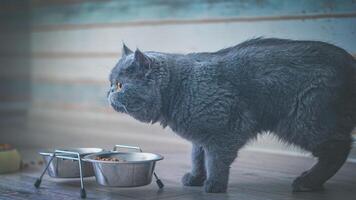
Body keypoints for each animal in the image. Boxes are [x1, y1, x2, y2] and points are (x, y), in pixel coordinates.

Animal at [108, 38, 356, 193]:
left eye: (119, 85)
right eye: (111, 83)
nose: (108, 91)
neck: (181, 87)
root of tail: (351, 64)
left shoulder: (224, 130)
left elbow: (216, 160)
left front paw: (214, 185)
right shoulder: (201, 136)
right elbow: (197, 157)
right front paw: (196, 178)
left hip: (303, 120)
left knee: (339, 148)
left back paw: (307, 182)